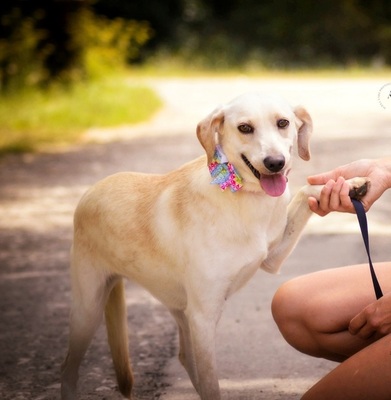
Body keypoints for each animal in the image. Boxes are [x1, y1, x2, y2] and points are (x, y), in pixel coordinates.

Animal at [60, 92, 368, 398]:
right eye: (245, 128)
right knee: (68, 367)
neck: (245, 196)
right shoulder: (204, 316)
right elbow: (211, 383)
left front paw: (351, 183)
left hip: (179, 311)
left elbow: (306, 190)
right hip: (90, 308)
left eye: (283, 123)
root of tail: (91, 190)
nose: (275, 163)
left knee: (185, 357)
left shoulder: (272, 259)